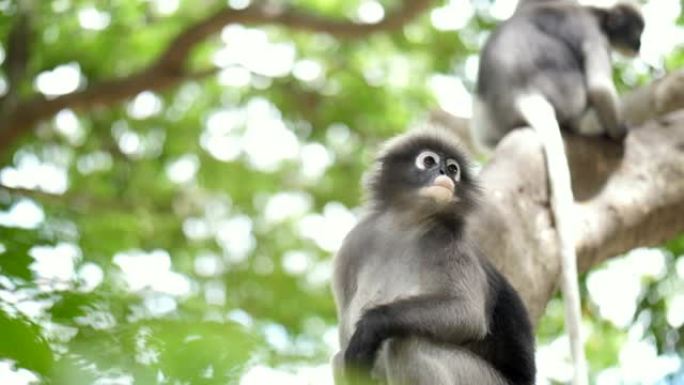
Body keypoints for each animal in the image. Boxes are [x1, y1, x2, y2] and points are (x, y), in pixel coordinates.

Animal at [330, 129, 536, 384]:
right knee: (339, 359)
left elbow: (467, 311)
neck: (405, 227)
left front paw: (370, 326)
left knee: (406, 344)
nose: (443, 173)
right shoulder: (353, 244)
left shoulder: (447, 242)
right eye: (428, 161)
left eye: (453, 168)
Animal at [472, 3, 644, 384]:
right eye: (636, 30)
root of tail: (523, 94)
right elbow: (600, 86)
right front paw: (619, 129)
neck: (596, 14)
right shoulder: (594, 36)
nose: (639, 43)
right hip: (568, 93)